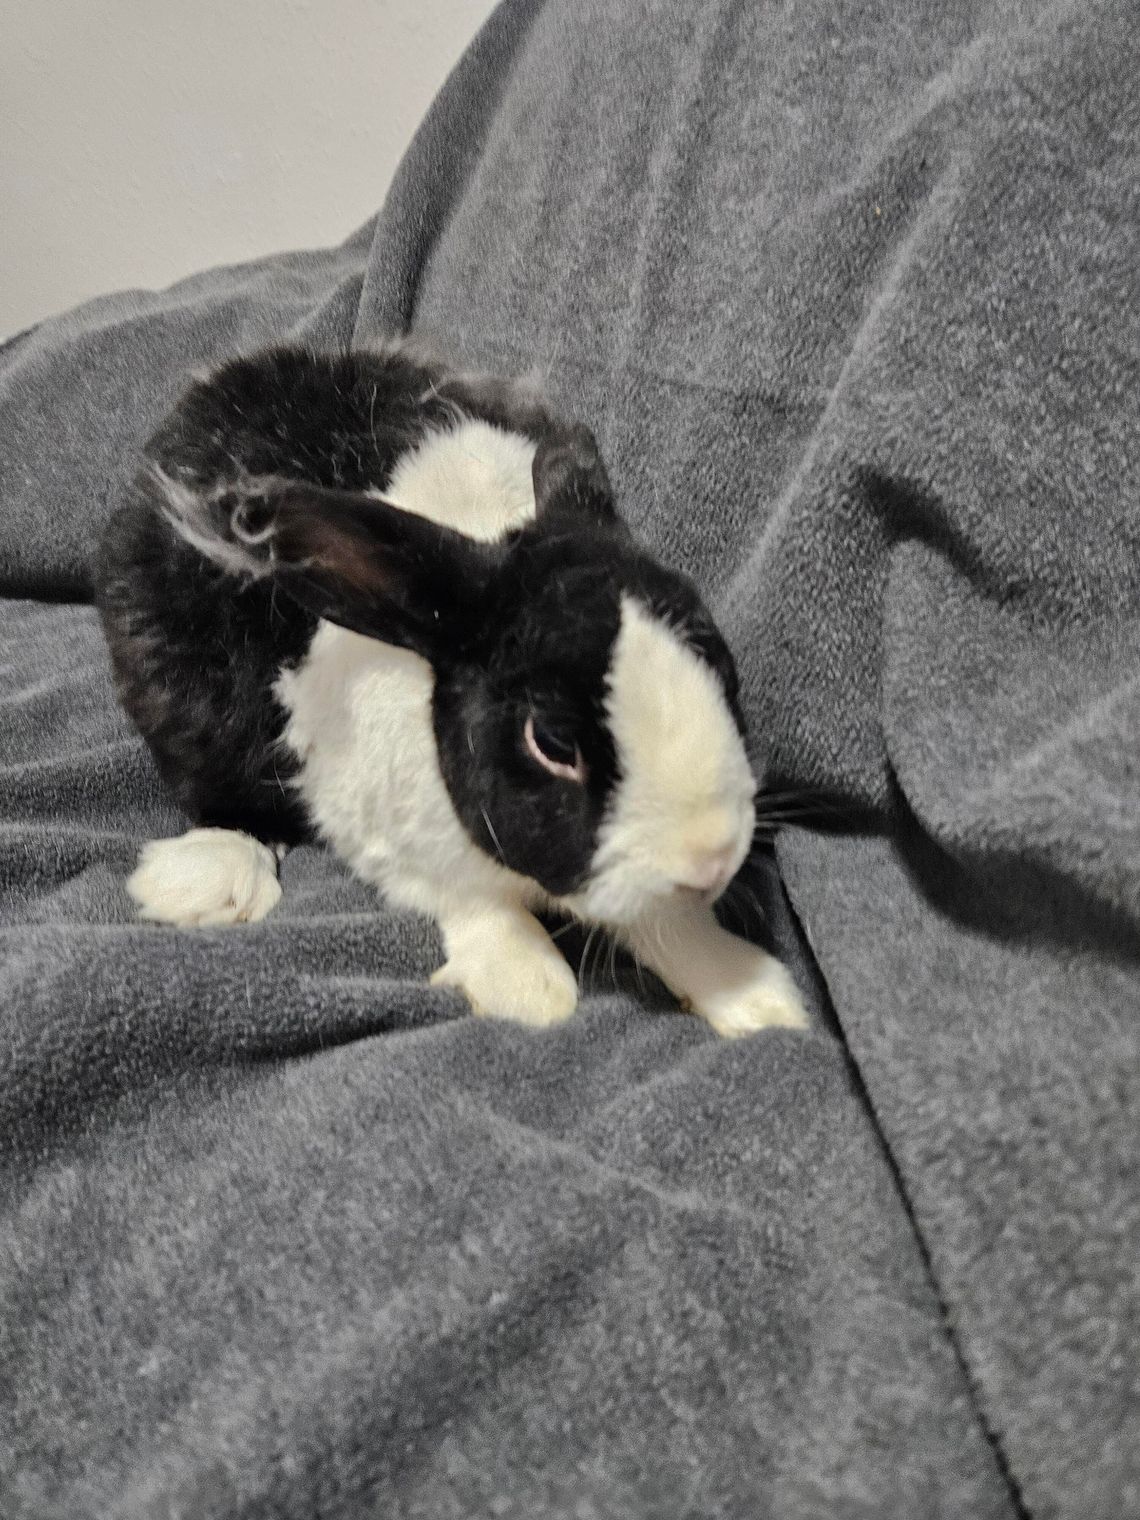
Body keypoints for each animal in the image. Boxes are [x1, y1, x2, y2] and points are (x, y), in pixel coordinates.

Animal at [95, 344, 808, 1038]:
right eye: (552, 743)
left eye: (717, 661)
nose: (713, 858)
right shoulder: (385, 834)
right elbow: (473, 900)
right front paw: (527, 988)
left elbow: (665, 923)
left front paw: (759, 1001)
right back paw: (210, 881)